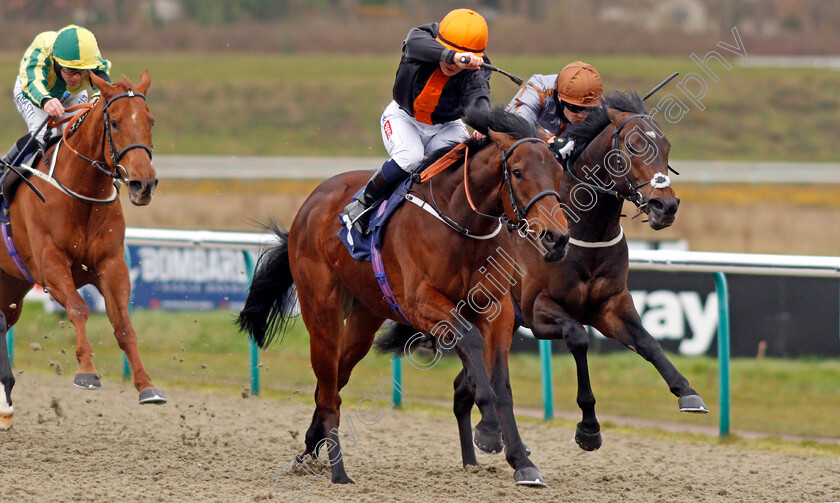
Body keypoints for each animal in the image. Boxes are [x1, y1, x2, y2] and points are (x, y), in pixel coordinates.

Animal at [0, 72, 164, 434]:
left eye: (151, 121)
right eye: (114, 122)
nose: (143, 184)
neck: (81, 193)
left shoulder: (112, 265)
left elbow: (124, 324)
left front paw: (147, 386)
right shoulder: (50, 265)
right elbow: (78, 307)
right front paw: (87, 371)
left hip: (12, 283)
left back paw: (4, 407)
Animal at [236, 106, 572, 488]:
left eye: (558, 172)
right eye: (517, 172)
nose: (557, 238)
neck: (462, 223)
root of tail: (310, 204)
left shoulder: (497, 309)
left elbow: (500, 379)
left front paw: (522, 461)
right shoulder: (421, 303)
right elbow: (470, 339)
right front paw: (487, 430)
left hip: (365, 318)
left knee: (333, 383)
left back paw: (309, 451)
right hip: (322, 313)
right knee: (328, 388)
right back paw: (339, 472)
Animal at [378, 90, 708, 472]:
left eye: (666, 147)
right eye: (631, 145)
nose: (664, 206)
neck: (583, 230)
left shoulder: (610, 305)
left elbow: (647, 341)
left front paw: (687, 392)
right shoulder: (538, 311)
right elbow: (578, 338)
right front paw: (588, 428)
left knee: (463, 389)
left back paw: (478, 456)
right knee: (469, 380)